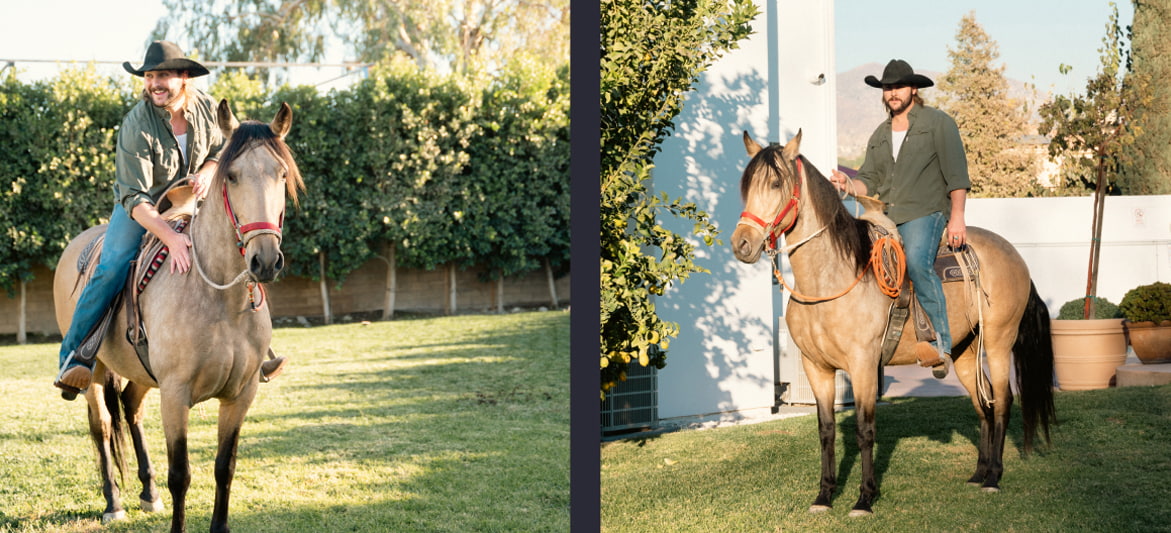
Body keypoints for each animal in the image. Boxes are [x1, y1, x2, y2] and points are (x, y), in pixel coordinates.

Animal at [54, 101, 302, 533]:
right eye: (232, 176)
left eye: (281, 173)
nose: (266, 260)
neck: (220, 300)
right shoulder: (175, 393)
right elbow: (181, 474)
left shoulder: (241, 395)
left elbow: (225, 467)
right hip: (95, 372)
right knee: (102, 426)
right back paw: (113, 502)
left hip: (139, 374)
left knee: (131, 408)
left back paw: (147, 492)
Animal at [730, 131, 1053, 520]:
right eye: (746, 186)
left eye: (776, 183)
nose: (741, 244)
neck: (831, 278)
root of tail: (1014, 256)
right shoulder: (816, 368)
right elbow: (826, 430)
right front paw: (824, 495)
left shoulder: (863, 365)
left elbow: (865, 429)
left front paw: (864, 499)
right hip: (964, 351)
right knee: (983, 403)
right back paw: (979, 473)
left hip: (999, 342)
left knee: (1002, 400)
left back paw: (993, 477)